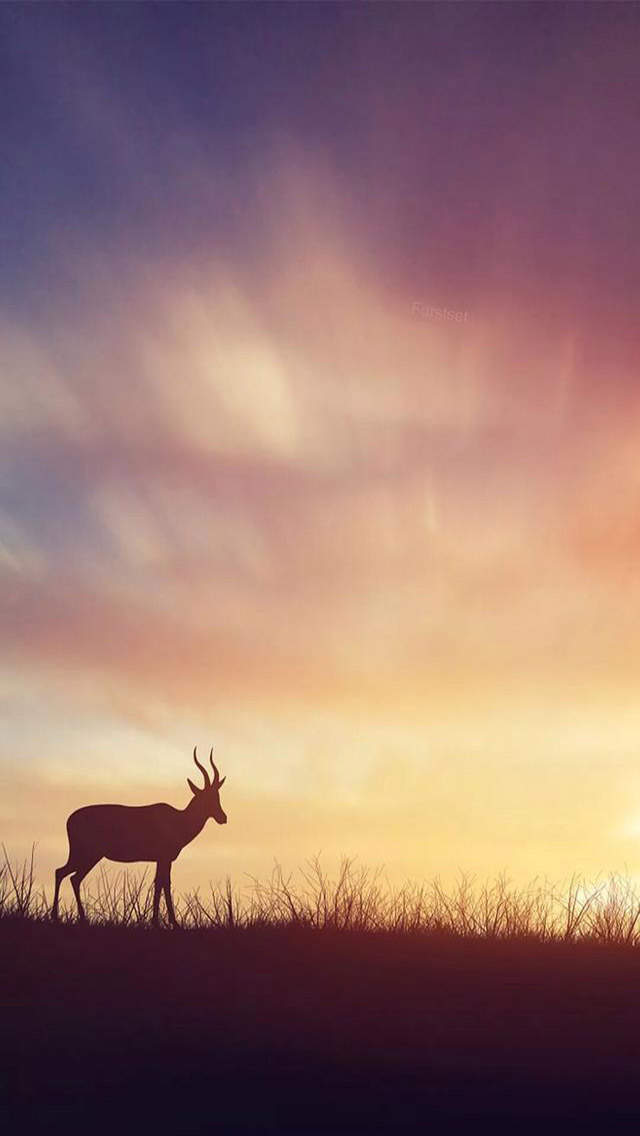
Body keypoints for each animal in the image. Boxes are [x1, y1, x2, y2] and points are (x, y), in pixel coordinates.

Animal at [51, 746, 227, 927]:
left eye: (218, 797)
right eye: (207, 798)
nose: (223, 817)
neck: (179, 820)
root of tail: (69, 819)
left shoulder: (162, 859)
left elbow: (160, 883)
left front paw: (158, 921)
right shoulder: (164, 858)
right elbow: (164, 884)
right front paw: (169, 922)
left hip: (87, 855)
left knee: (67, 875)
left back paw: (70, 917)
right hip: (89, 854)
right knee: (67, 875)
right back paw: (64, 916)